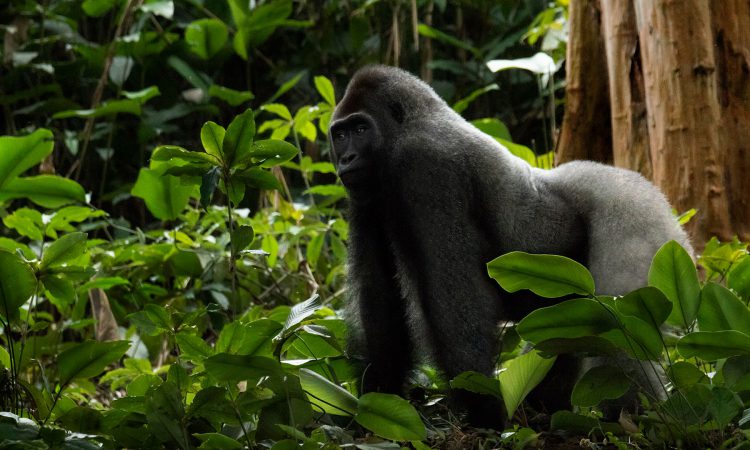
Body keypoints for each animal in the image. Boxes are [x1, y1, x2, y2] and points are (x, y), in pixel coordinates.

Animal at [328, 65, 692, 427]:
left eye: (361, 129)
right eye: (340, 134)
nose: (346, 158)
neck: (412, 122)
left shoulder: (425, 166)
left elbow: (456, 302)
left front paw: (483, 410)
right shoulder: (367, 196)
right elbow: (381, 300)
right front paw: (378, 395)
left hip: (638, 216)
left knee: (616, 328)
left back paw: (637, 418)